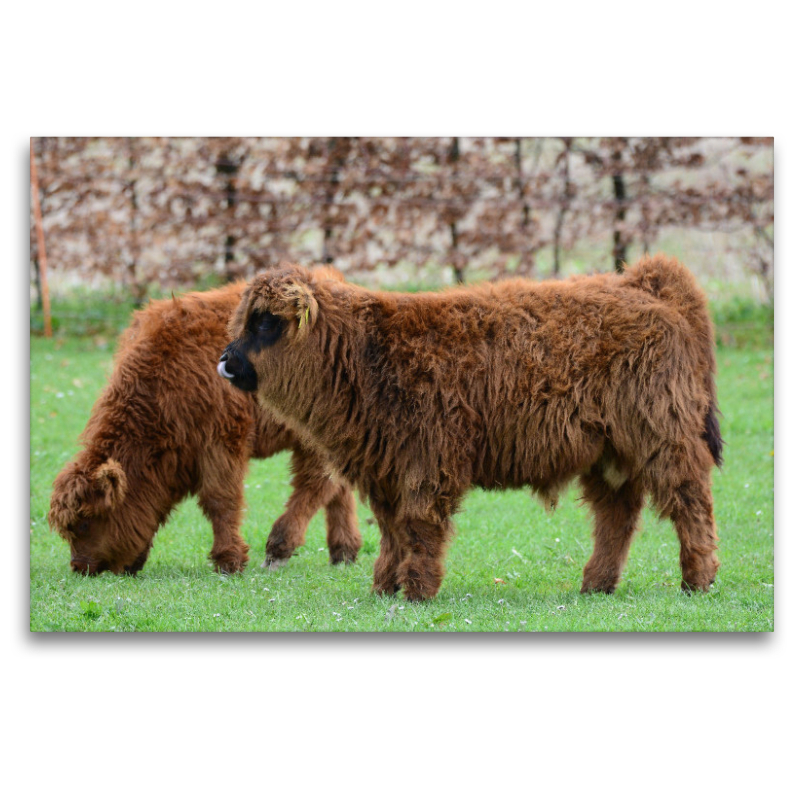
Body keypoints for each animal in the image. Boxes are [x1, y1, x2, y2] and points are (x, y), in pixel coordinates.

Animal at [48, 276, 360, 576]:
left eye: (86, 522)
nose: (80, 566)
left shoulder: (222, 443)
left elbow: (221, 501)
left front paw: (229, 560)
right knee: (335, 488)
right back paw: (344, 551)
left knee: (313, 484)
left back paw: (279, 549)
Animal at [220, 256, 724, 600]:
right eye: (246, 320)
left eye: (266, 322)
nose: (226, 360)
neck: (365, 354)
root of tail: (642, 283)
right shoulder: (385, 470)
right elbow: (391, 530)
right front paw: (384, 585)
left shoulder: (427, 463)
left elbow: (419, 527)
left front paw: (418, 589)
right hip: (608, 454)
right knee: (617, 516)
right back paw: (596, 584)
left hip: (662, 437)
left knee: (689, 500)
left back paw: (698, 579)